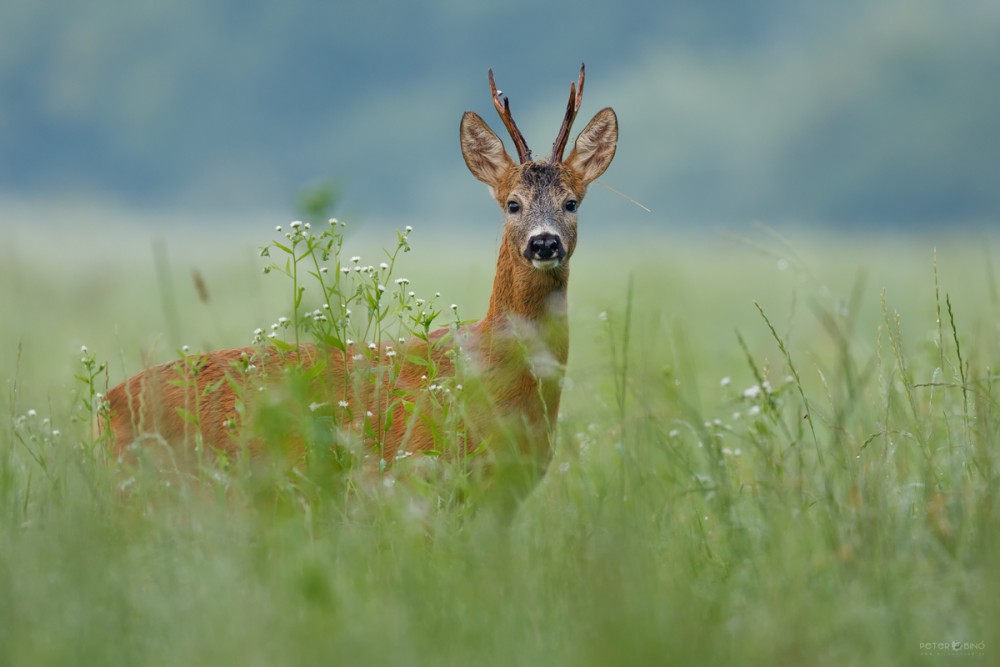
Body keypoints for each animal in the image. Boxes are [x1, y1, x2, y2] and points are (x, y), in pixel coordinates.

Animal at [101, 65, 616, 498]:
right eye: (512, 203)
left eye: (571, 202)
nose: (544, 242)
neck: (492, 372)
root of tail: (103, 405)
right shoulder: (416, 473)